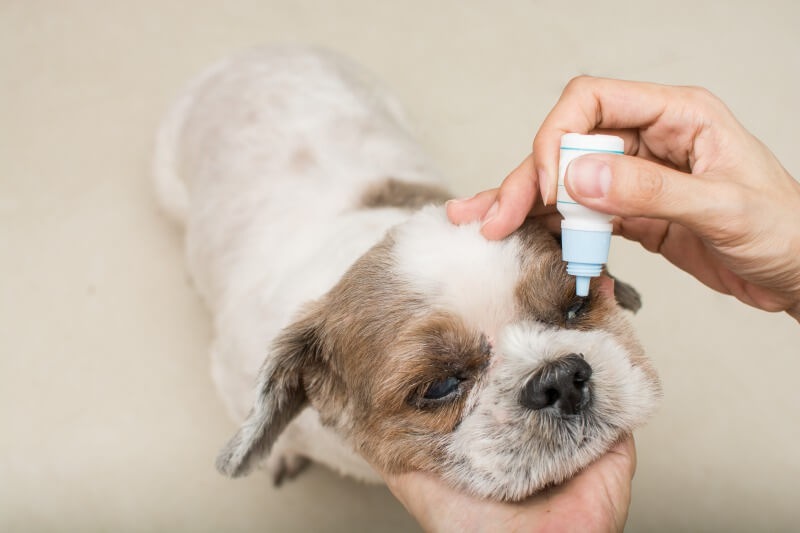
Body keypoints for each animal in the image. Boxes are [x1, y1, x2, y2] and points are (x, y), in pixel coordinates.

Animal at [153, 44, 660, 498]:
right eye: (440, 386)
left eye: (576, 305)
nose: (560, 379)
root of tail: (254, 55)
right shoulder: (230, 370)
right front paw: (281, 453)